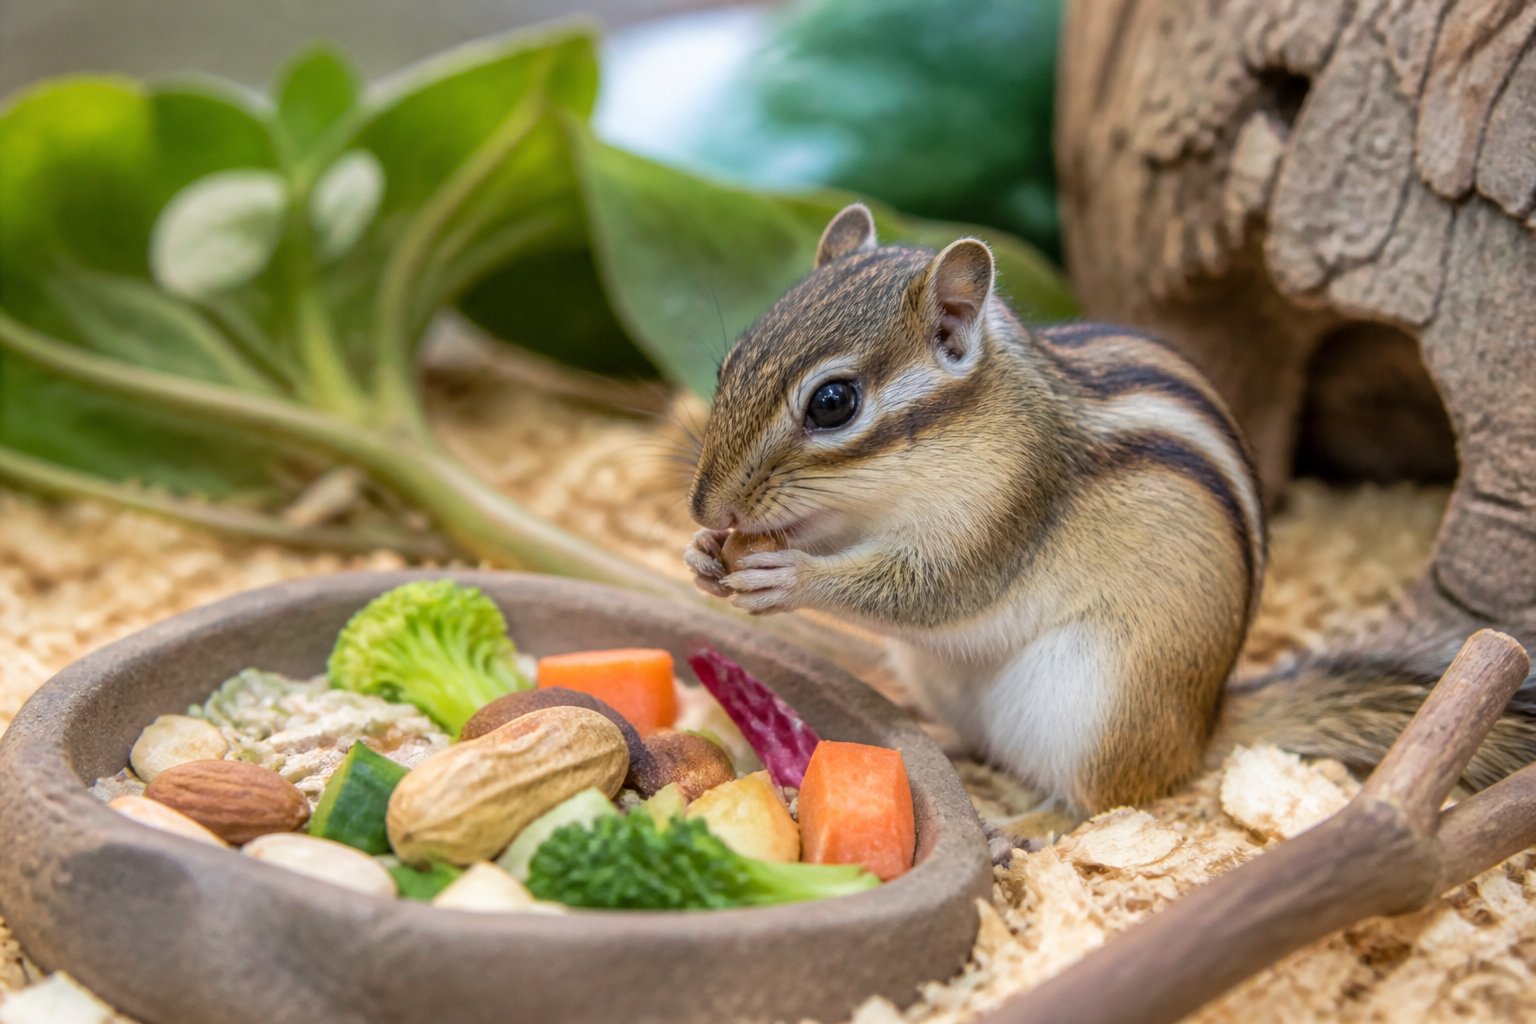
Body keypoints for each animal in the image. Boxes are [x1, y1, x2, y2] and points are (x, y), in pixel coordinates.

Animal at [684, 203, 1536, 818]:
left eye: (833, 403)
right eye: (729, 363)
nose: (706, 503)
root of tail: (1202, 731)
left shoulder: (1008, 511)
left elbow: (932, 591)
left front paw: (788, 578)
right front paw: (703, 553)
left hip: (1090, 706)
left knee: (1098, 804)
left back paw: (1020, 828)